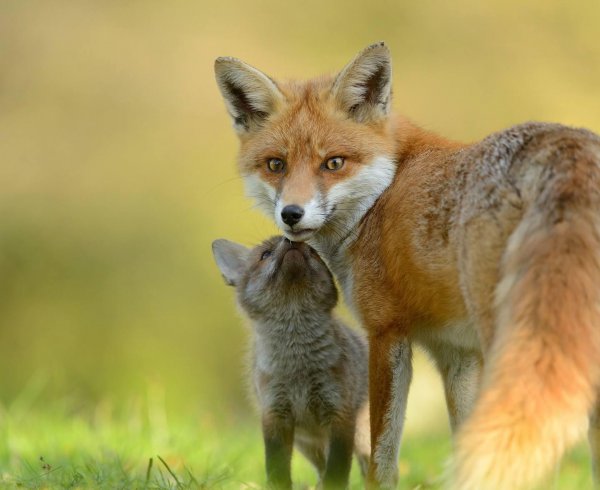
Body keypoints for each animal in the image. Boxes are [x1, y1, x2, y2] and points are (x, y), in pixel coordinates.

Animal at [213, 43, 600, 490]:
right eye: (276, 165)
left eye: (334, 163)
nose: (291, 215)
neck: (382, 194)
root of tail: (566, 145)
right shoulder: (456, 352)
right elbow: (464, 440)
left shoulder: (387, 333)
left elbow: (382, 457)